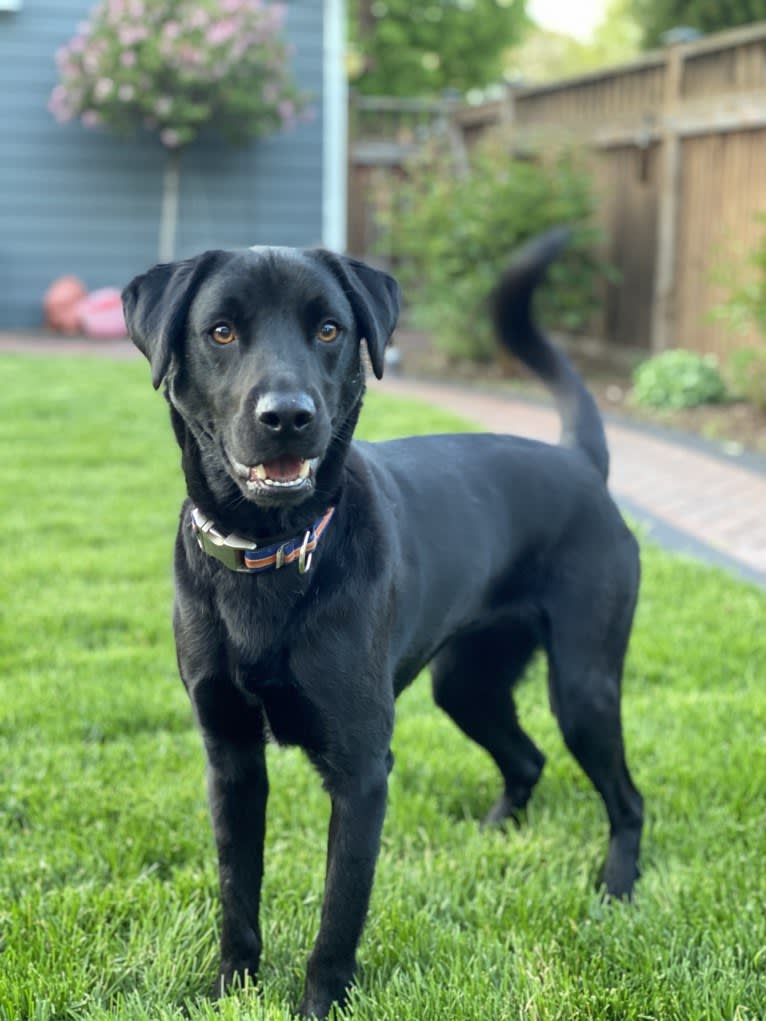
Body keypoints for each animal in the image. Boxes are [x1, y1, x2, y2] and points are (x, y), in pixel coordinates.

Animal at [124, 227, 641, 1016]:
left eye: (329, 330)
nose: (288, 416)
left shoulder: (362, 771)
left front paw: (320, 1003)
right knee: (527, 758)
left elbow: (340, 912)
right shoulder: (230, 757)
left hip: (583, 688)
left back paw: (616, 887)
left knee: (627, 799)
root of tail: (578, 462)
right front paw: (229, 988)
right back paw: (495, 835)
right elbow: (237, 891)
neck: (273, 554)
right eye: (221, 331)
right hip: (467, 685)